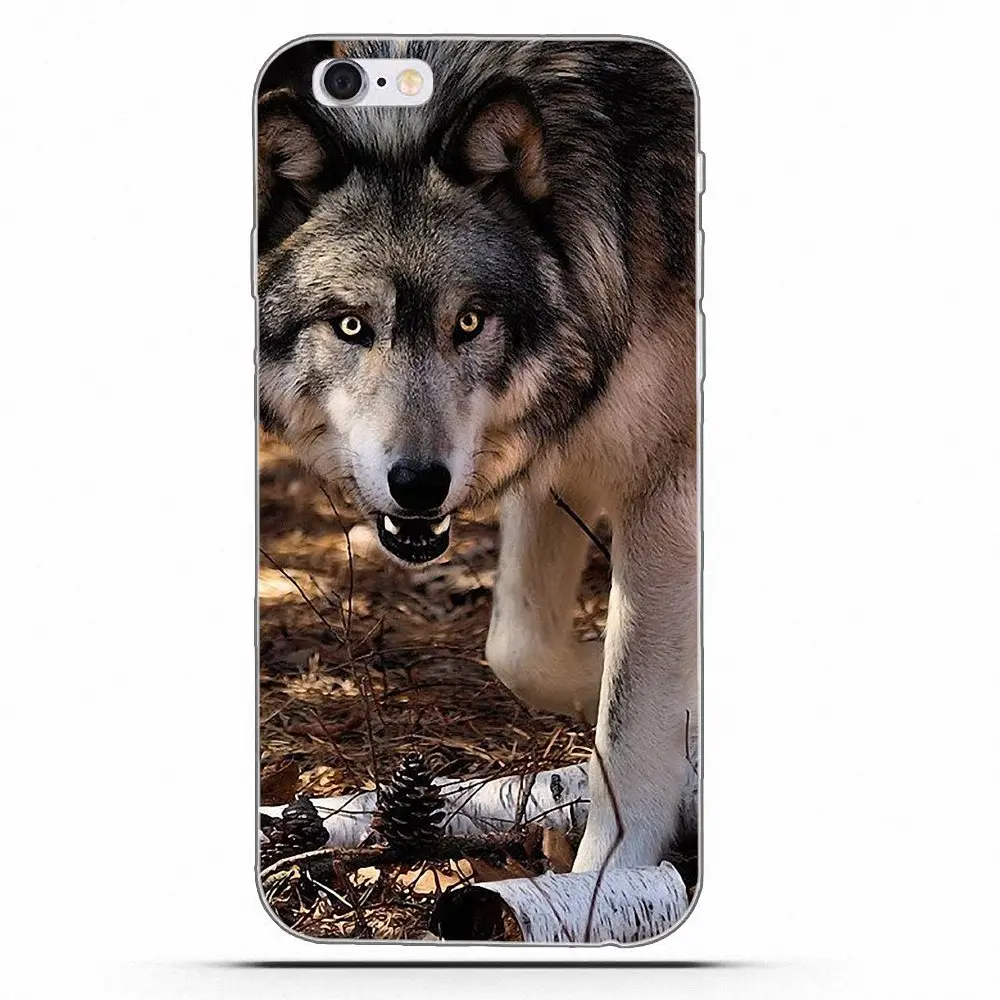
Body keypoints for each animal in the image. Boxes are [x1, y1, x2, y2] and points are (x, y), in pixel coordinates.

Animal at [256, 38, 699, 872]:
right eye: (352, 326)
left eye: (469, 322)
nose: (419, 484)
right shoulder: (559, 449)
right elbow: (516, 646)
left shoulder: (668, 487)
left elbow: (627, 729)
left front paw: (606, 874)